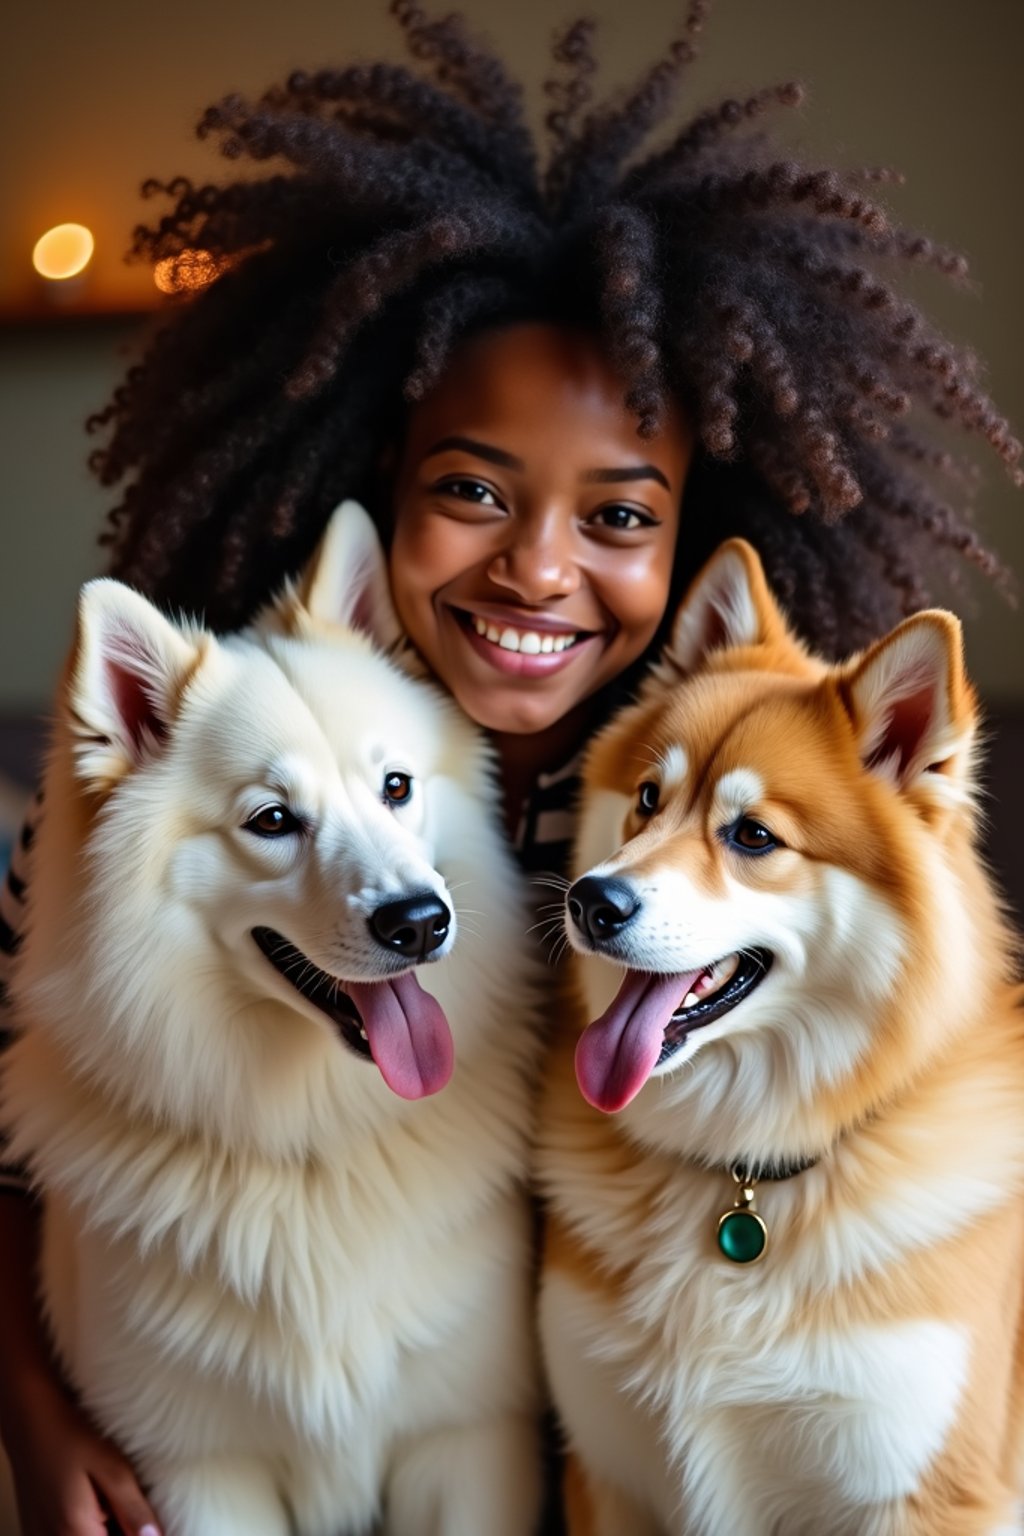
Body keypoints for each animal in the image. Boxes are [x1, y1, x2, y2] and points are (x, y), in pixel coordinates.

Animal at [0, 503, 543, 1536]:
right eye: (273, 820)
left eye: (396, 787)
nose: (421, 923)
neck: (308, 1148)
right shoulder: (199, 1467)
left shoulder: (468, 1438)